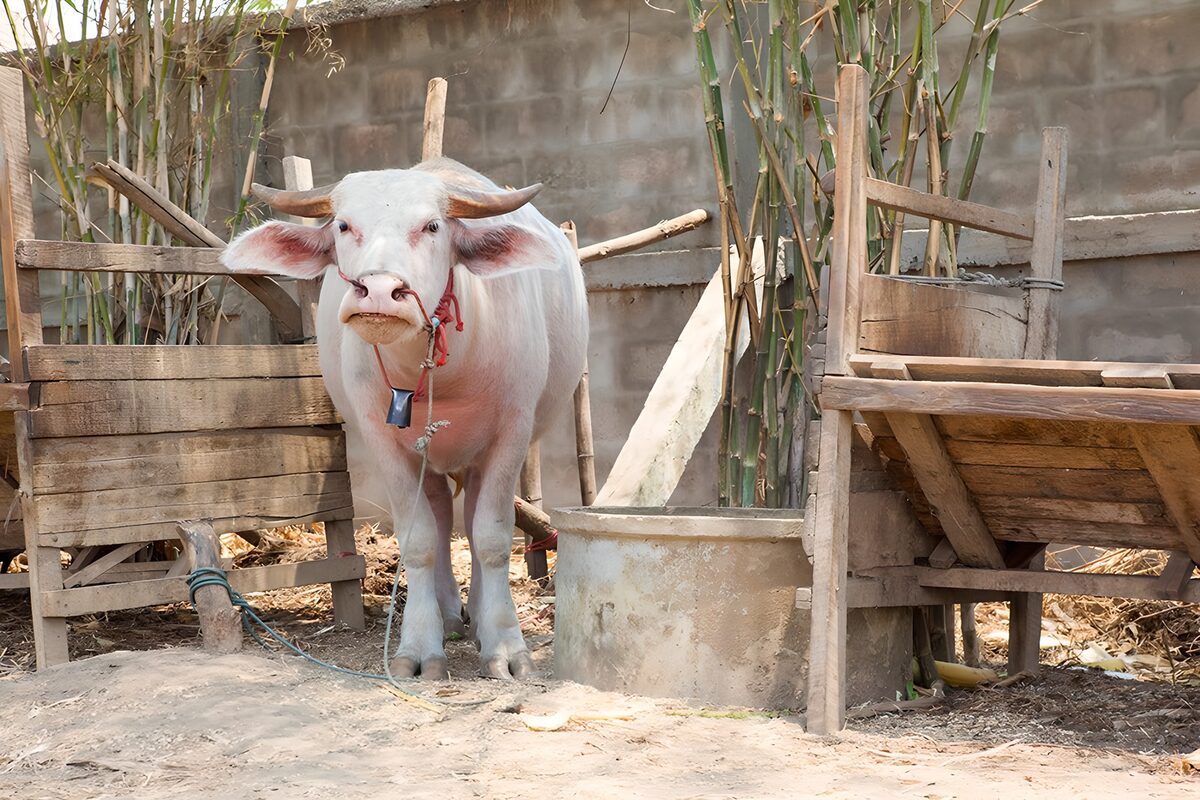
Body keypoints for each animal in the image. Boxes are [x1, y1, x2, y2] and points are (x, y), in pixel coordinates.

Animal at [222, 158, 588, 680]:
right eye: (343, 225)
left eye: (432, 226)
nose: (377, 291)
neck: (440, 373)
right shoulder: (381, 440)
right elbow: (419, 541)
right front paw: (419, 647)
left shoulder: (512, 432)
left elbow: (492, 539)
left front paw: (505, 646)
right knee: (440, 515)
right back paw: (447, 613)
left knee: (471, 520)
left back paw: (476, 619)